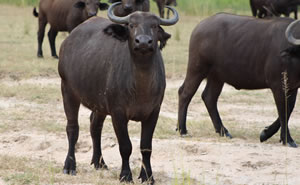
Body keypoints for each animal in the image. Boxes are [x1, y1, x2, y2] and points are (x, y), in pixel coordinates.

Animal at [58, 2, 178, 184]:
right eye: (131, 25)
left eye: (155, 26)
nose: (143, 42)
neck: (140, 86)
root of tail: (68, 41)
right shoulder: (118, 113)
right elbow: (125, 146)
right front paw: (126, 175)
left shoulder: (154, 112)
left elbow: (146, 146)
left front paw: (147, 176)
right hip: (68, 90)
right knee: (72, 128)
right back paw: (70, 165)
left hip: (99, 104)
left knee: (95, 126)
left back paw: (99, 162)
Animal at [177, 13, 300, 147]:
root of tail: (199, 27)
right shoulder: (278, 87)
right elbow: (283, 112)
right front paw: (288, 139)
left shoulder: (293, 88)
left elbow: (289, 110)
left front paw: (265, 134)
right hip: (197, 68)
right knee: (185, 93)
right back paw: (183, 130)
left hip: (216, 77)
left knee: (209, 97)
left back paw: (223, 131)